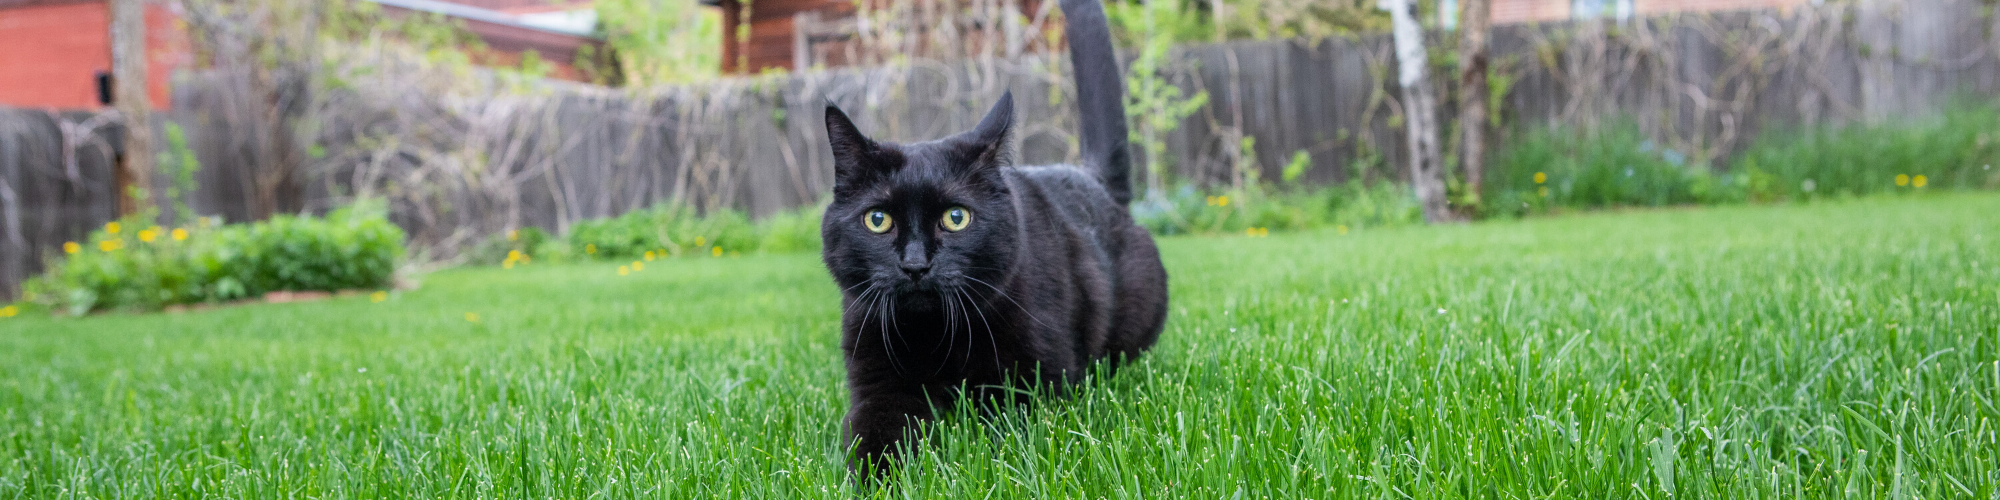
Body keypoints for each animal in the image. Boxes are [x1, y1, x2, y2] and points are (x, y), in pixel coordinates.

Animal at [816, 0, 1168, 472]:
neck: (937, 337)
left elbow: (1009, 441)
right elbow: (874, 438)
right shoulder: (877, 380)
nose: (915, 264)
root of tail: (1093, 179)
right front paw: (882, 478)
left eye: (956, 217)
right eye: (878, 220)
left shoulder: (1033, 383)